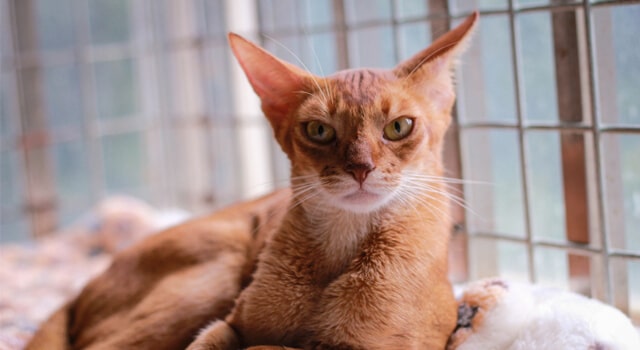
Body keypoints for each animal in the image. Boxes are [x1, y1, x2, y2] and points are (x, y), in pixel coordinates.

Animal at [27, 11, 478, 350]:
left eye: (399, 127)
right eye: (318, 131)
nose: (361, 168)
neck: (342, 244)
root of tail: (80, 291)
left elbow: (274, 346)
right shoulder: (228, 326)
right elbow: (234, 342)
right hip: (213, 276)